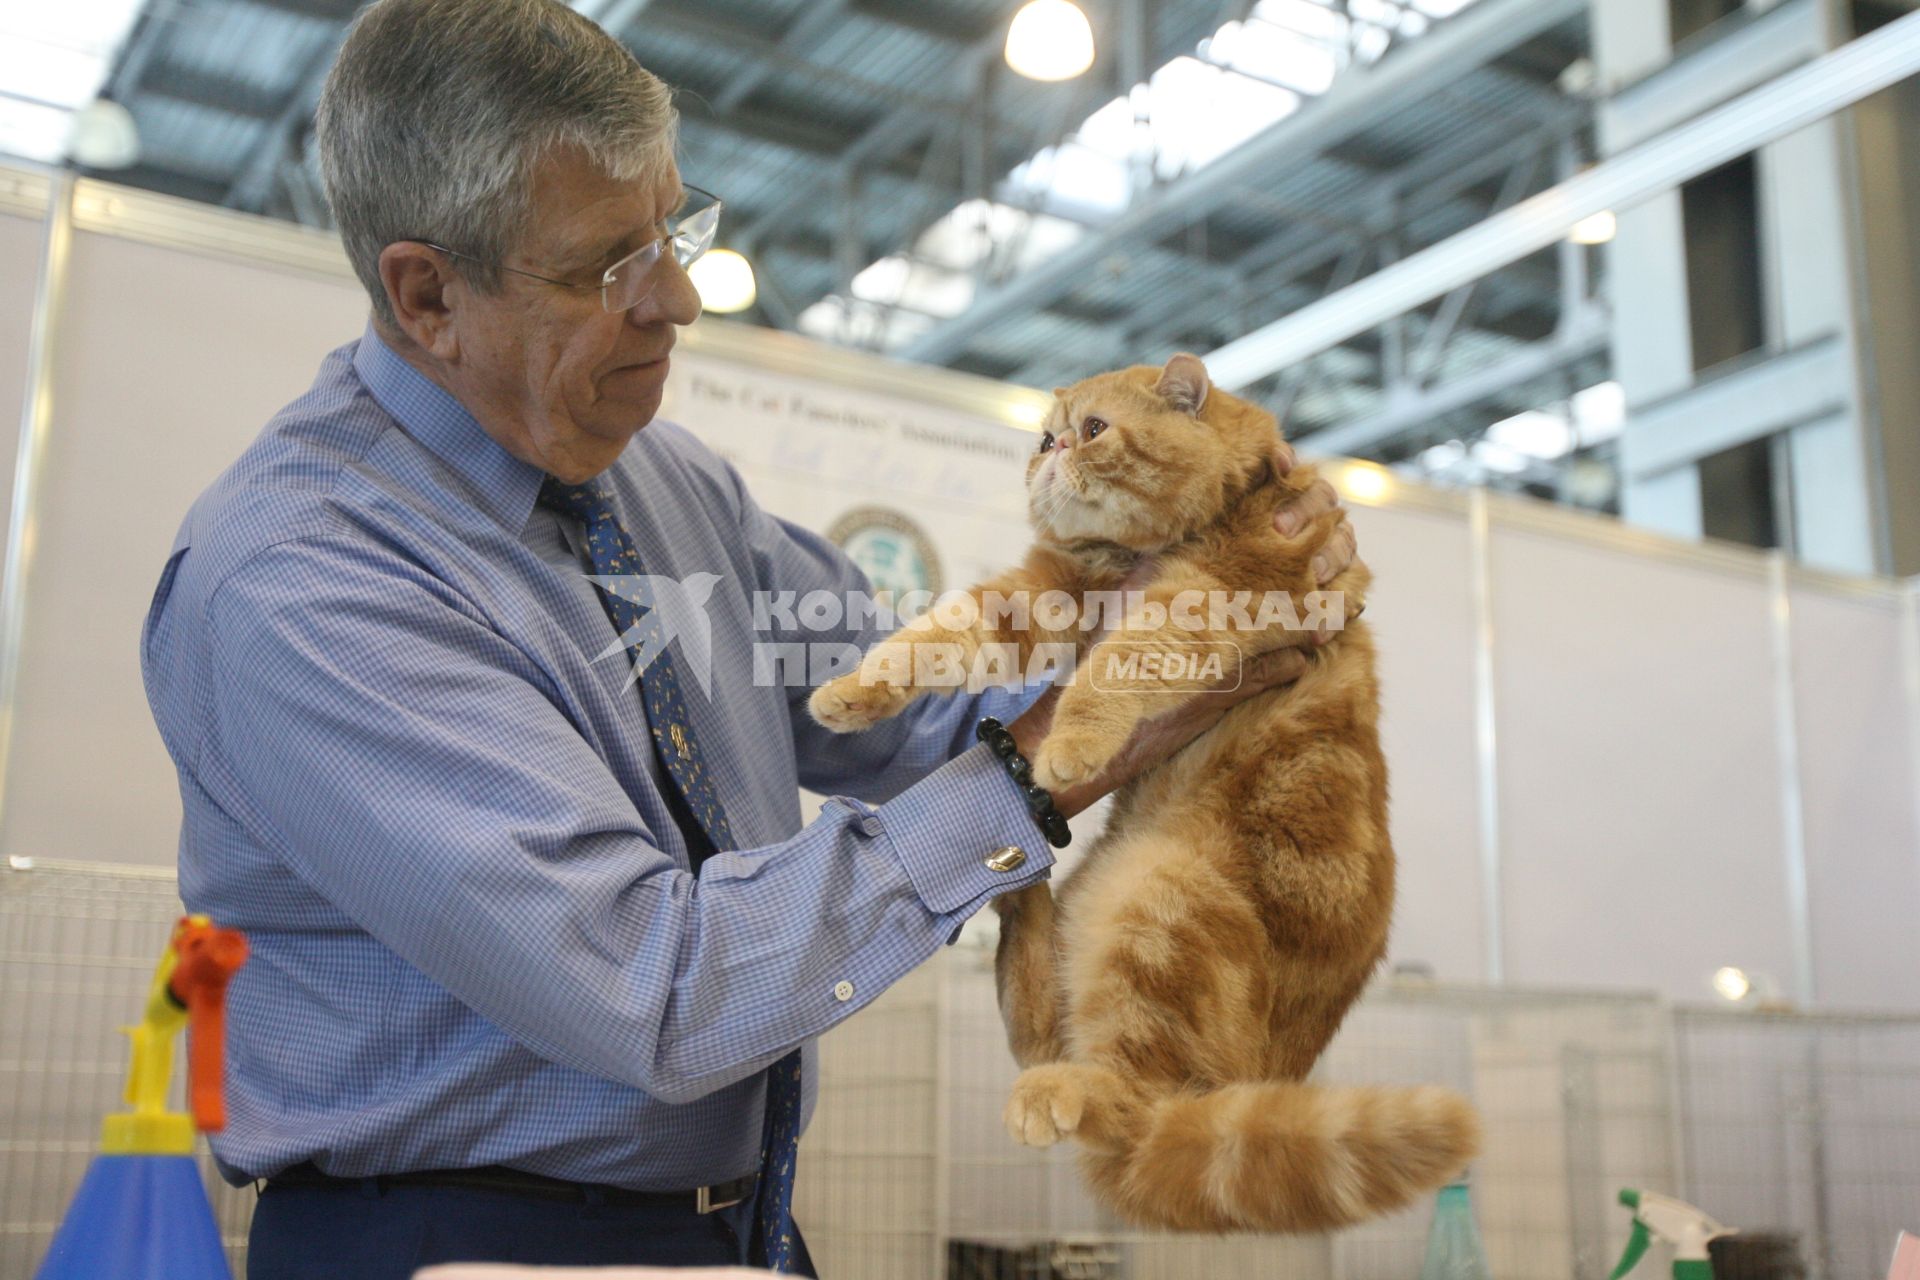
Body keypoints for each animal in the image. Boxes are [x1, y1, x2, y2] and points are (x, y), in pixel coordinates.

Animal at [802, 355, 1474, 1235]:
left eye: (1092, 430)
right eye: (1044, 437)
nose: (1052, 452)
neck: (1143, 553)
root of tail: (1260, 1079)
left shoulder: (1213, 598)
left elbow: (1122, 662)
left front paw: (1071, 744)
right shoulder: (1041, 591)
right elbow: (937, 637)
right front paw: (852, 691)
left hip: (1160, 898)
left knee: (1131, 1096)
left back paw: (1063, 1082)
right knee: (1052, 1039)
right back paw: (1020, 904)